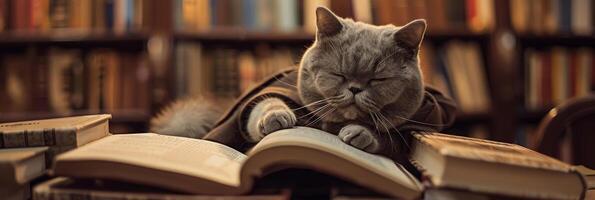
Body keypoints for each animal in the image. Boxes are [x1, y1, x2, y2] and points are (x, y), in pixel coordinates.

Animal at [150, 7, 456, 155]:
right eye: (339, 74)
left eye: (377, 79)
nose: (355, 88)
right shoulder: (277, 89)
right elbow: (264, 104)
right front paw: (277, 119)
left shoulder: (414, 125)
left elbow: (387, 136)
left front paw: (360, 134)